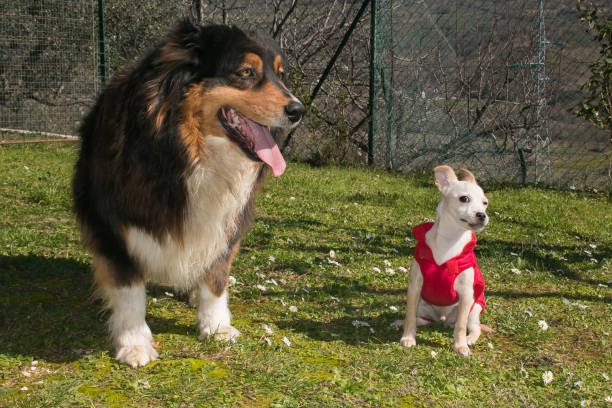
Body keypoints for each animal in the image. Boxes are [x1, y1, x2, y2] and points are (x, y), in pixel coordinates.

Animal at [400, 164, 490, 356]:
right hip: (423, 305)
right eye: (464, 199)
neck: (450, 241)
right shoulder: (415, 287)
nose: (482, 215)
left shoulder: (466, 294)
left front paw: (460, 345)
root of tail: (442, 320)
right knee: (422, 319)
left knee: (474, 327)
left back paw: (469, 339)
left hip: (474, 308)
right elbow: (409, 316)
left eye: (485, 203)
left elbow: (460, 326)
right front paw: (408, 337)